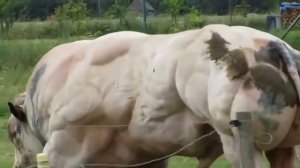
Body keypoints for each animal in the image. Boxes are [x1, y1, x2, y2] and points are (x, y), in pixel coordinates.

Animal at [6, 24, 300, 168]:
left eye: (13, 135)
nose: (18, 166)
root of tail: (274, 45)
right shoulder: (147, 159)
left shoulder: (62, 151)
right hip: (283, 148)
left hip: (240, 142)